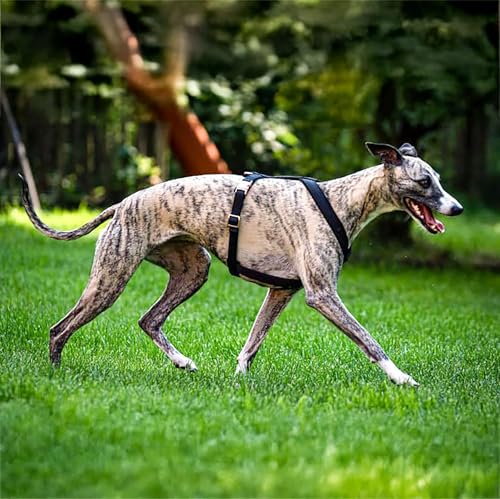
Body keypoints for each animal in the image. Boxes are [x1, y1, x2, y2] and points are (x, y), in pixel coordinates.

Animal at [20, 141, 464, 386]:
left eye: (439, 179)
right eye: (425, 182)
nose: (456, 208)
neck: (341, 201)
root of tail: (122, 203)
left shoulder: (280, 291)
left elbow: (252, 343)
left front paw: (239, 382)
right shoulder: (322, 295)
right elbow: (369, 340)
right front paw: (402, 378)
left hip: (192, 270)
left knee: (149, 319)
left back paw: (181, 361)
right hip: (111, 278)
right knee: (60, 328)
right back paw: (56, 374)